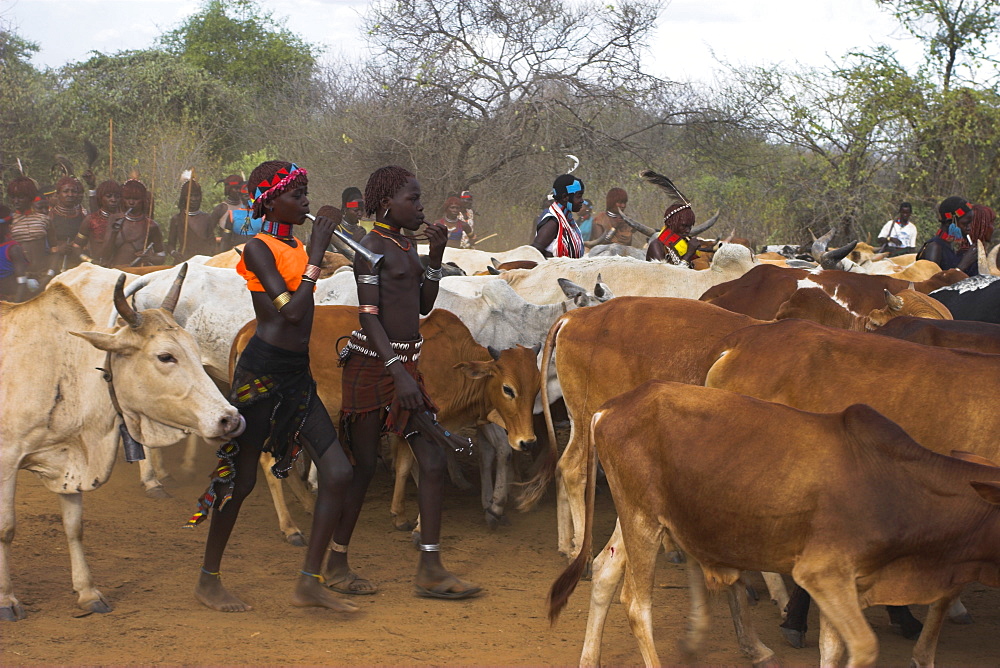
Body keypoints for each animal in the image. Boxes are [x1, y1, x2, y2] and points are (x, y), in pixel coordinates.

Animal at [0, 274, 242, 620]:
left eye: (197, 350)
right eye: (165, 356)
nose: (230, 419)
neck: (61, 371)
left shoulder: (70, 465)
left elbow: (74, 527)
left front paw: (88, 593)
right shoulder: (7, 461)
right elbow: (6, 528)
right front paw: (6, 599)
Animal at [548, 380, 1000, 668]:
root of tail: (609, 408)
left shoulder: (843, 583)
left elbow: (833, 651)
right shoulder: (822, 573)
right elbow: (863, 648)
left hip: (640, 516)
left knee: (605, 571)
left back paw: (590, 660)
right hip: (642, 520)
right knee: (636, 604)